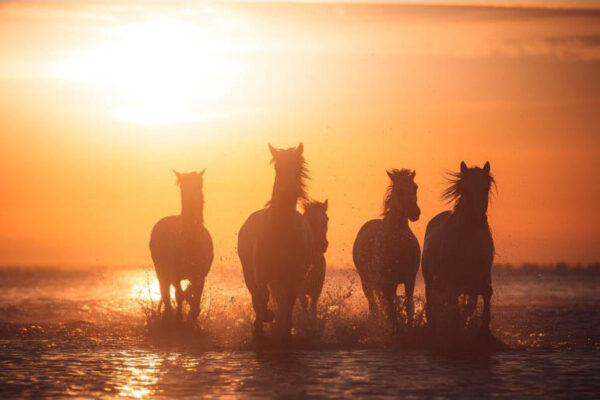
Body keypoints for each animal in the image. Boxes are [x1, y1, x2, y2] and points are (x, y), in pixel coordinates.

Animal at [149, 170, 213, 324]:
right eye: (182, 186)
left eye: (199, 184)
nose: (194, 201)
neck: (190, 241)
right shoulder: (175, 274)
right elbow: (179, 294)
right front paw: (179, 317)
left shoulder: (199, 274)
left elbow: (194, 296)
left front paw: (193, 314)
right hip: (160, 270)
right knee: (165, 291)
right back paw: (169, 313)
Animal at [237, 141, 314, 344]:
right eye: (278, 168)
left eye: (297, 168)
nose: (288, 192)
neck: (280, 230)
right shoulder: (260, 271)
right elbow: (262, 296)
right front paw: (265, 319)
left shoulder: (295, 274)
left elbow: (289, 300)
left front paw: (285, 332)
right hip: (250, 271)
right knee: (256, 296)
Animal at [352, 170, 422, 332]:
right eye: (399, 190)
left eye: (415, 187)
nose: (415, 213)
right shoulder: (386, 281)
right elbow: (390, 308)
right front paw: (395, 330)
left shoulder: (410, 278)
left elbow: (408, 305)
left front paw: (409, 328)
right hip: (366, 281)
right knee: (374, 306)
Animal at [420, 161, 494, 340]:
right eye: (465, 188)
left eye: (486, 187)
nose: (479, 220)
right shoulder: (452, 278)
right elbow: (452, 301)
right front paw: (455, 327)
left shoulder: (481, 275)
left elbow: (486, 293)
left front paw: (484, 329)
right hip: (430, 278)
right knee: (433, 297)